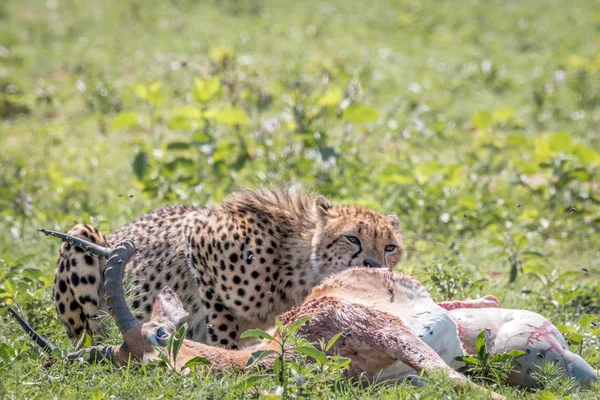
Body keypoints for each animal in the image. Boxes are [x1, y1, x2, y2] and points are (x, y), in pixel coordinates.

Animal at [52, 186, 404, 348]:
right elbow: (221, 322)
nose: (374, 264)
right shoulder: (198, 237)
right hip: (81, 236)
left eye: (390, 247)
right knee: (86, 334)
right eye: (352, 238)